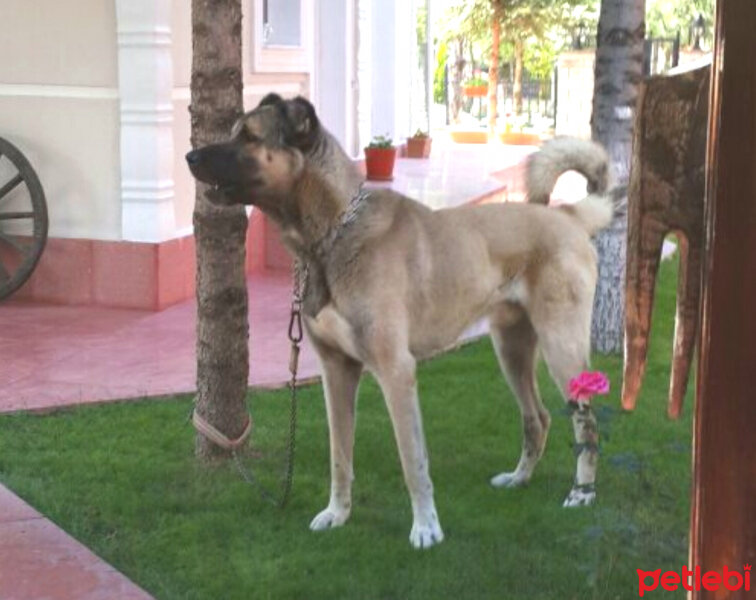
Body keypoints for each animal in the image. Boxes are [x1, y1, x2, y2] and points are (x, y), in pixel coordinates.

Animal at [188, 97, 616, 548]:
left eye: (249, 137)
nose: (189, 157)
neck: (332, 235)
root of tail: (569, 215)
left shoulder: (396, 371)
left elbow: (413, 461)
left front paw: (427, 527)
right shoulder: (336, 371)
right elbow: (339, 455)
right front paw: (337, 513)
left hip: (560, 347)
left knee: (586, 423)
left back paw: (582, 493)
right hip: (511, 347)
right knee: (539, 417)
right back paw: (519, 478)